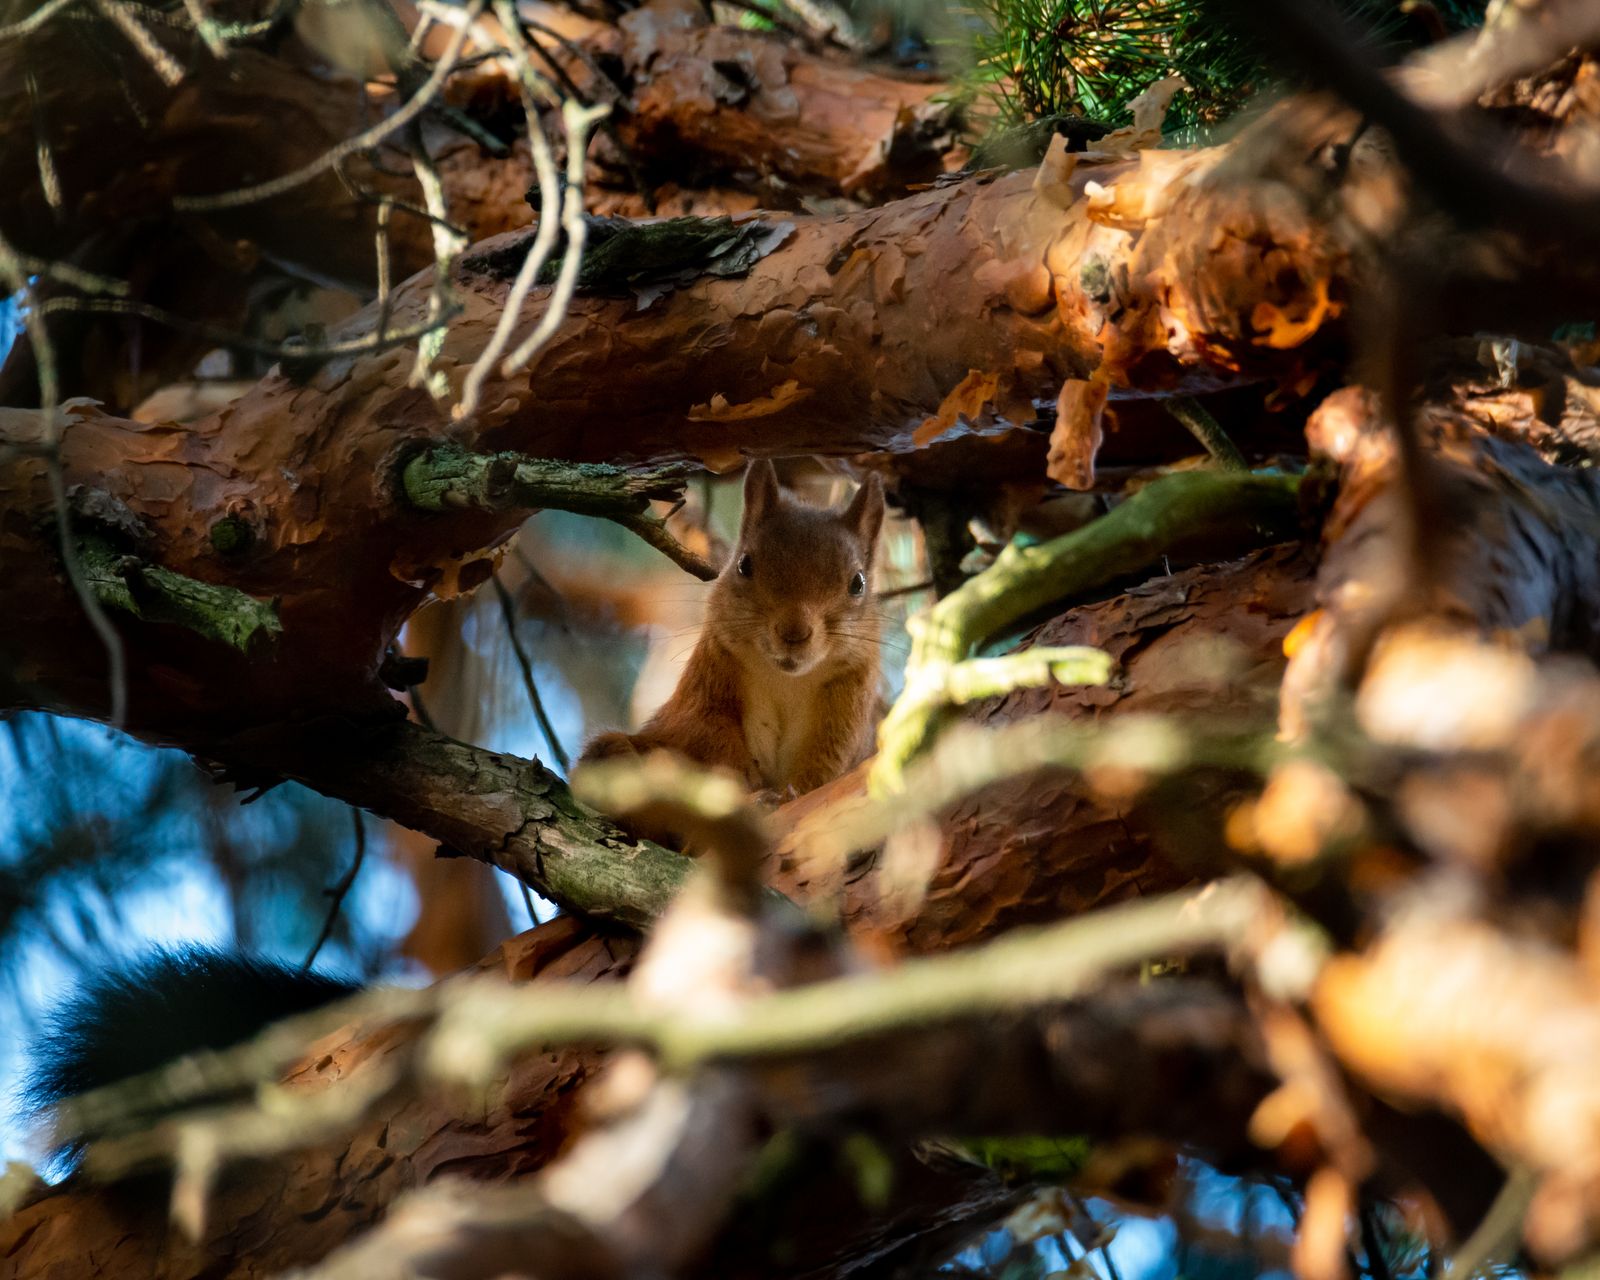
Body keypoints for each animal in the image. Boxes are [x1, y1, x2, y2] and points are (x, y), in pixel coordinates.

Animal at [579, 459, 886, 801]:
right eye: (744, 565)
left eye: (858, 583)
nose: (793, 633)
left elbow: (828, 763)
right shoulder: (709, 682)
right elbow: (707, 734)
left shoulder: (847, 710)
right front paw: (747, 787)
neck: (785, 680)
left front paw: (792, 793)